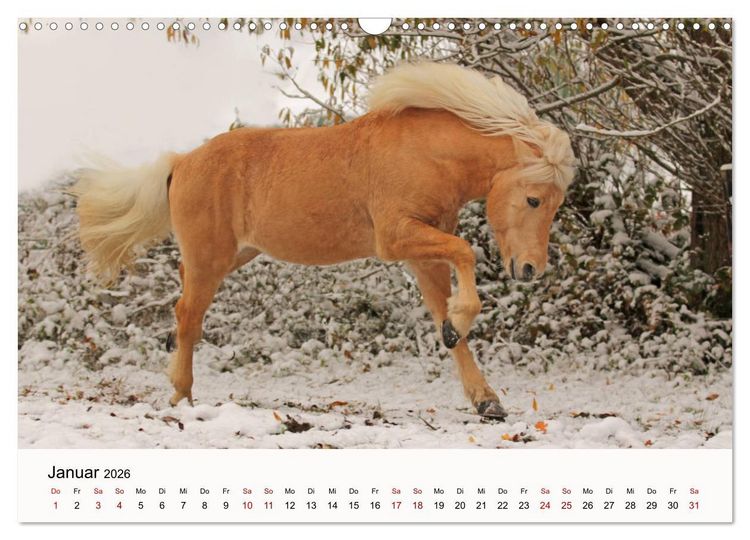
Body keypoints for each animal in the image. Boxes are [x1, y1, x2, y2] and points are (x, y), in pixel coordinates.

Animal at [71, 62, 576, 420]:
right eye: (533, 199)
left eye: (554, 205)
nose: (530, 269)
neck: (426, 154)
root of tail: (182, 161)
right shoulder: (398, 238)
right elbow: (466, 254)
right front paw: (462, 327)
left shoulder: (423, 253)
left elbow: (447, 321)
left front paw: (485, 396)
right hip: (209, 259)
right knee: (187, 317)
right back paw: (181, 395)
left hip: (231, 256)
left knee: (183, 305)